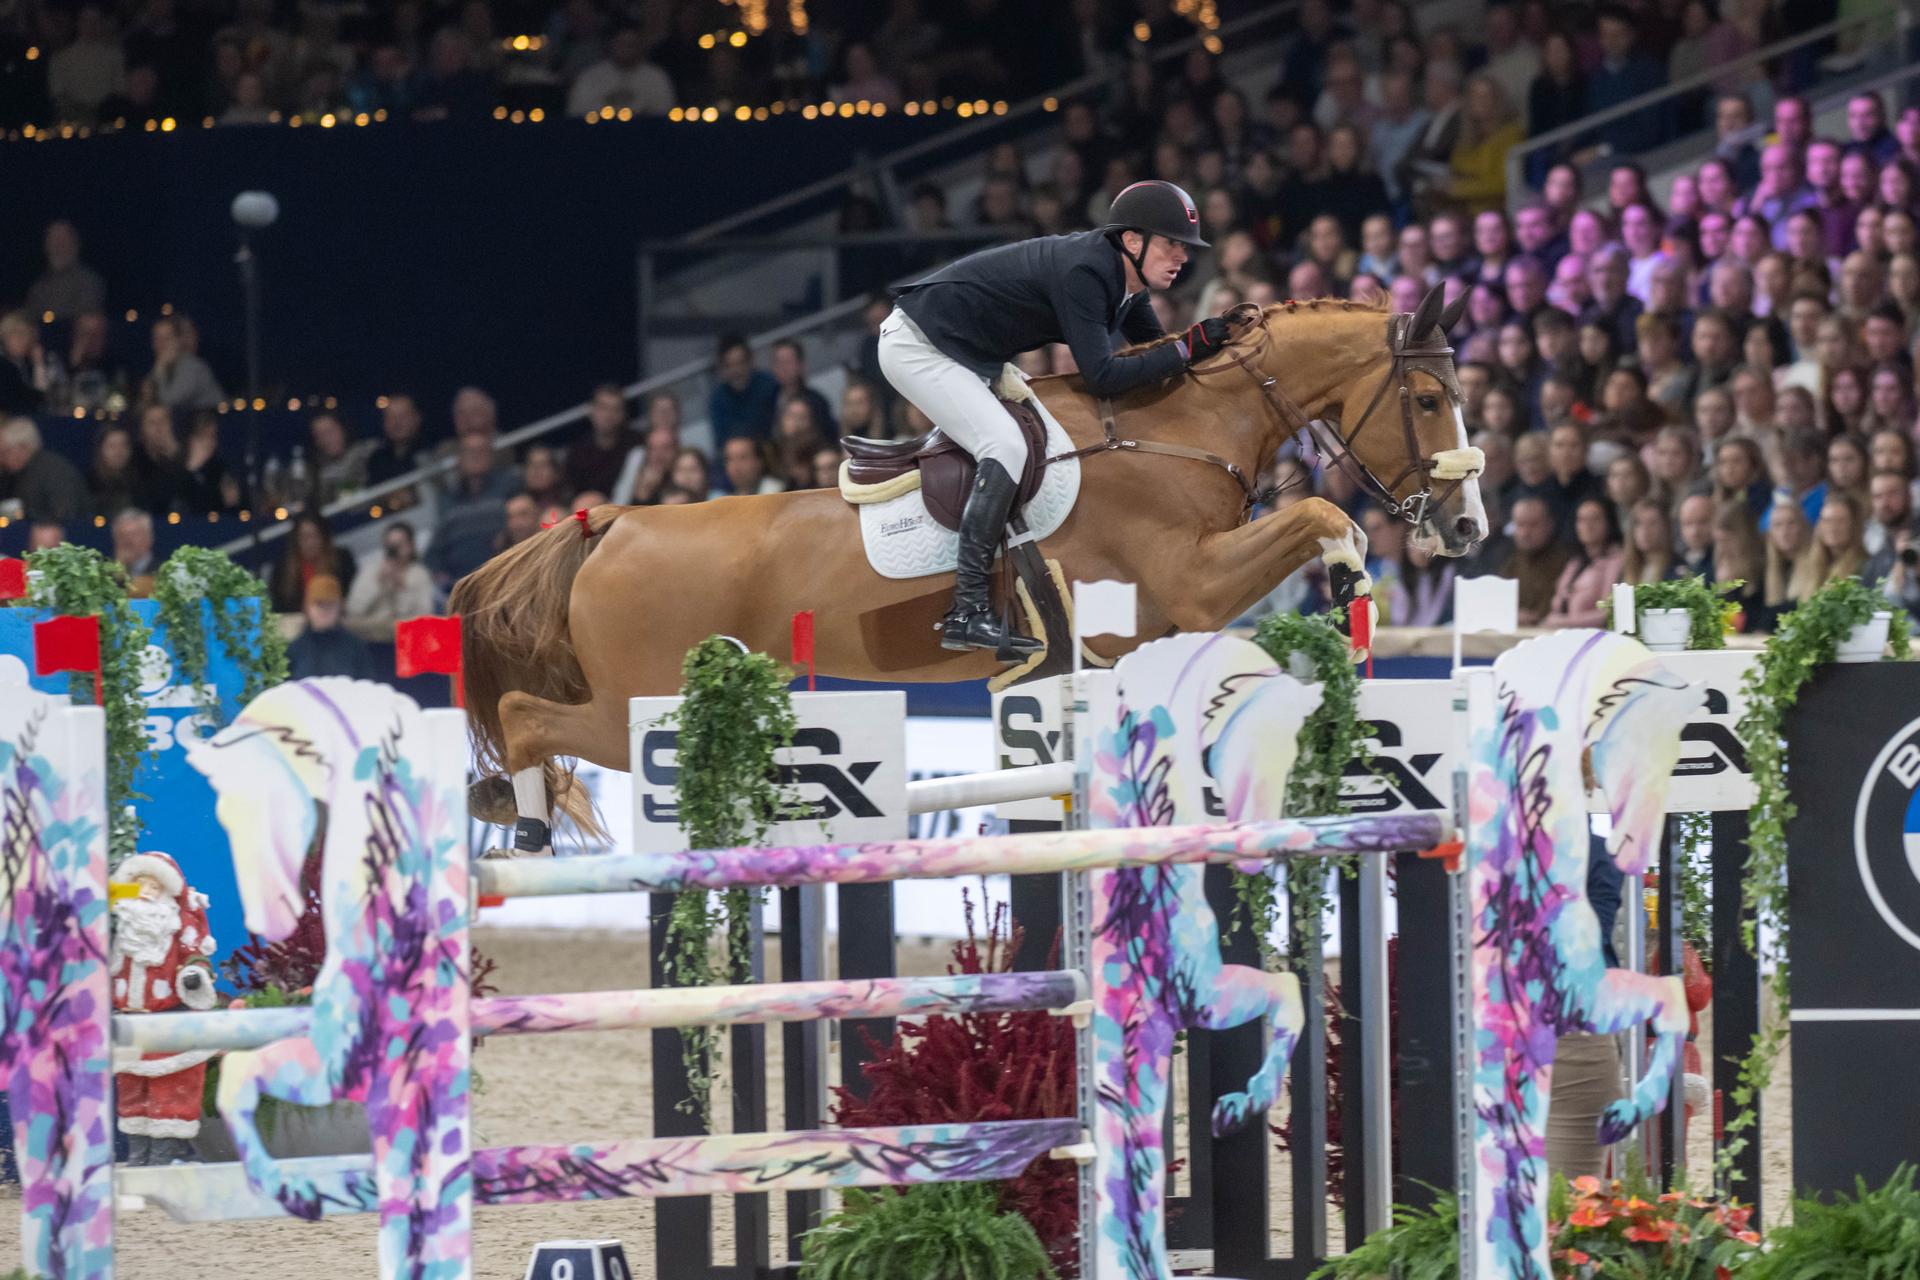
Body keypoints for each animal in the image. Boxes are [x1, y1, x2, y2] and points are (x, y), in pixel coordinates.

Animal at [450, 286, 1485, 845]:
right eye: (1430, 399)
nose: (1468, 527)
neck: (1180, 430)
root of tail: (610, 523)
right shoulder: (1190, 583)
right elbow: (1321, 514)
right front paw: (1350, 581)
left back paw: (523, 820)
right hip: (638, 700)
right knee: (527, 716)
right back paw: (524, 815)